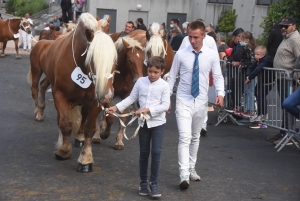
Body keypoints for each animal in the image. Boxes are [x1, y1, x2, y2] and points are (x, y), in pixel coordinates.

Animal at [27, 12, 117, 173]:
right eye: (92, 58)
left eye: (114, 59)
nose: (107, 95)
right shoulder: (59, 95)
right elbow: (65, 123)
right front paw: (63, 150)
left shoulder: (94, 101)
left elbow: (89, 127)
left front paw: (85, 159)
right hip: (37, 70)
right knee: (36, 90)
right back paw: (38, 112)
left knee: (43, 86)